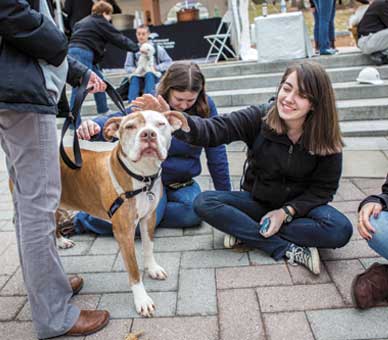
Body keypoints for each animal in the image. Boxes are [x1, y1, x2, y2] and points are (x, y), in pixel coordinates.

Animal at [59, 111, 189, 316]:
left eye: (160, 124)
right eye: (130, 127)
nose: (148, 134)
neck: (143, 177)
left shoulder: (148, 218)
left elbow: (148, 247)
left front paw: (152, 268)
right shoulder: (124, 232)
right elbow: (134, 270)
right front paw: (142, 300)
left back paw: (62, 241)